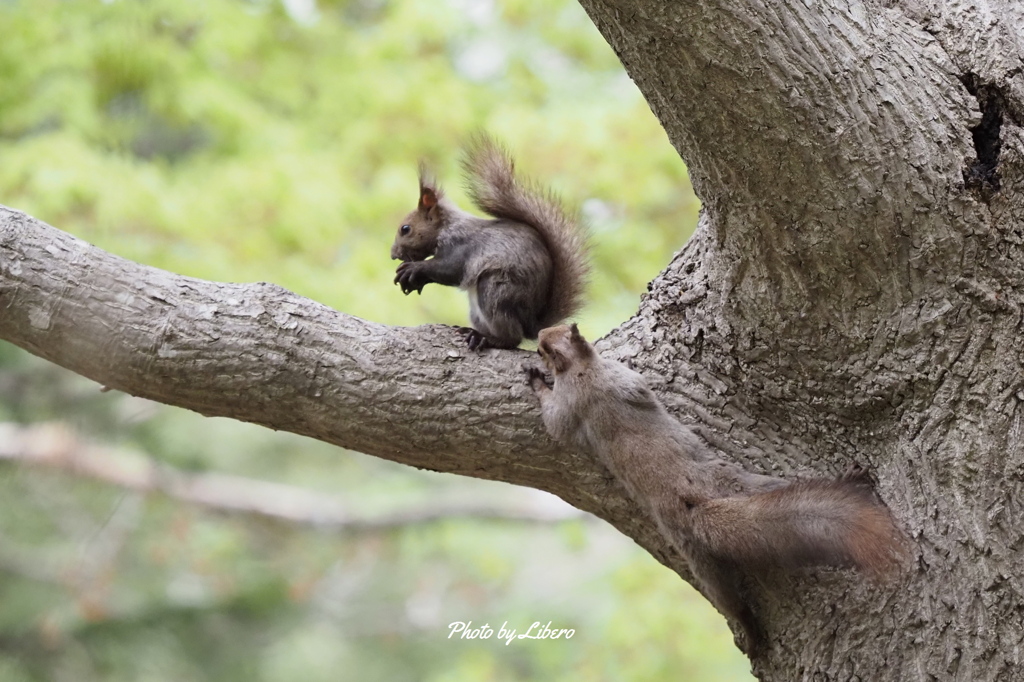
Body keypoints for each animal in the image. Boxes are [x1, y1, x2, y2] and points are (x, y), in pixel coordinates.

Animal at [389, 133, 589, 348]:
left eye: (405, 229)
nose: (393, 255)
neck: (447, 227)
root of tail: (530, 324)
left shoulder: (461, 246)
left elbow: (450, 269)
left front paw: (414, 268)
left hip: (496, 290)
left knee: (512, 338)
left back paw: (487, 338)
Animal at [528, 323, 905, 655]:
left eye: (546, 343)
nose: (539, 336)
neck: (582, 370)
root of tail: (695, 504)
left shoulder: (609, 381)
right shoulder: (594, 391)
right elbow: (558, 422)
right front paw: (536, 381)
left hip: (734, 498)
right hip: (718, 524)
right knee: (732, 604)